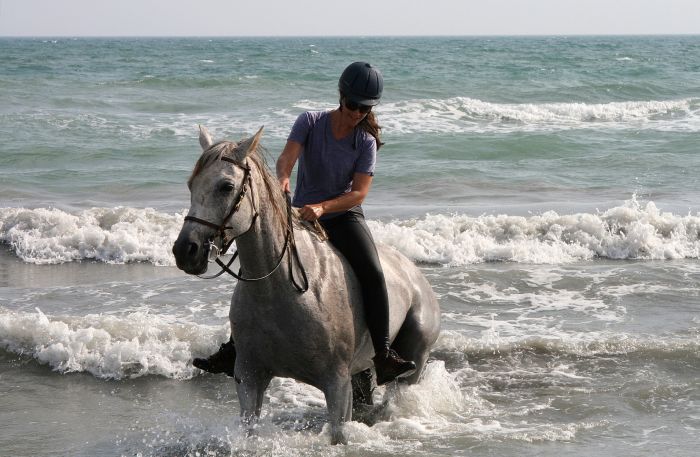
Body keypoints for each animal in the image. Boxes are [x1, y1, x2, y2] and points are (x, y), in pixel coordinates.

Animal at [172, 126, 440, 444]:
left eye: (226, 186)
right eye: (191, 184)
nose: (185, 251)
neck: (281, 292)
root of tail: (417, 276)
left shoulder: (337, 385)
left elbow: (338, 433)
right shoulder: (249, 378)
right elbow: (250, 427)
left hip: (414, 363)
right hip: (361, 371)